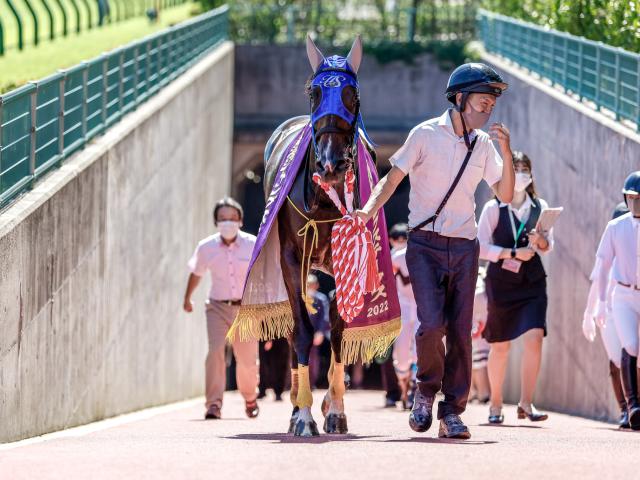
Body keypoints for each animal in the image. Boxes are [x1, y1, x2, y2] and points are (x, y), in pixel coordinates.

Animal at [262, 35, 372, 436]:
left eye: (353, 94)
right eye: (314, 93)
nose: (331, 163)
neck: (325, 200)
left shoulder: (347, 257)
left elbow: (338, 329)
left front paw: (334, 409)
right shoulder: (291, 257)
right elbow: (303, 330)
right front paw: (303, 414)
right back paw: (297, 402)